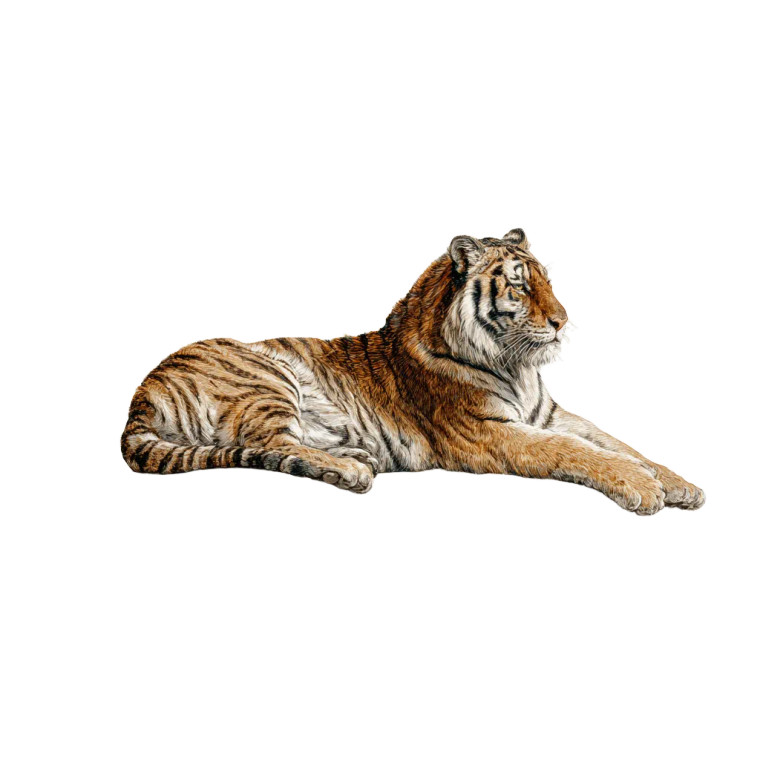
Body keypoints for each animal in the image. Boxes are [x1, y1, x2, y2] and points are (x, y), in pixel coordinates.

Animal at [121, 228, 704, 515]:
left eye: (548, 282)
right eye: (519, 285)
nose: (563, 321)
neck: (517, 366)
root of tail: (140, 396)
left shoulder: (549, 414)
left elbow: (617, 441)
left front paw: (682, 486)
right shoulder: (490, 434)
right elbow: (579, 453)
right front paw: (644, 488)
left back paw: (356, 458)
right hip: (266, 376)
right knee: (270, 445)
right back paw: (353, 470)